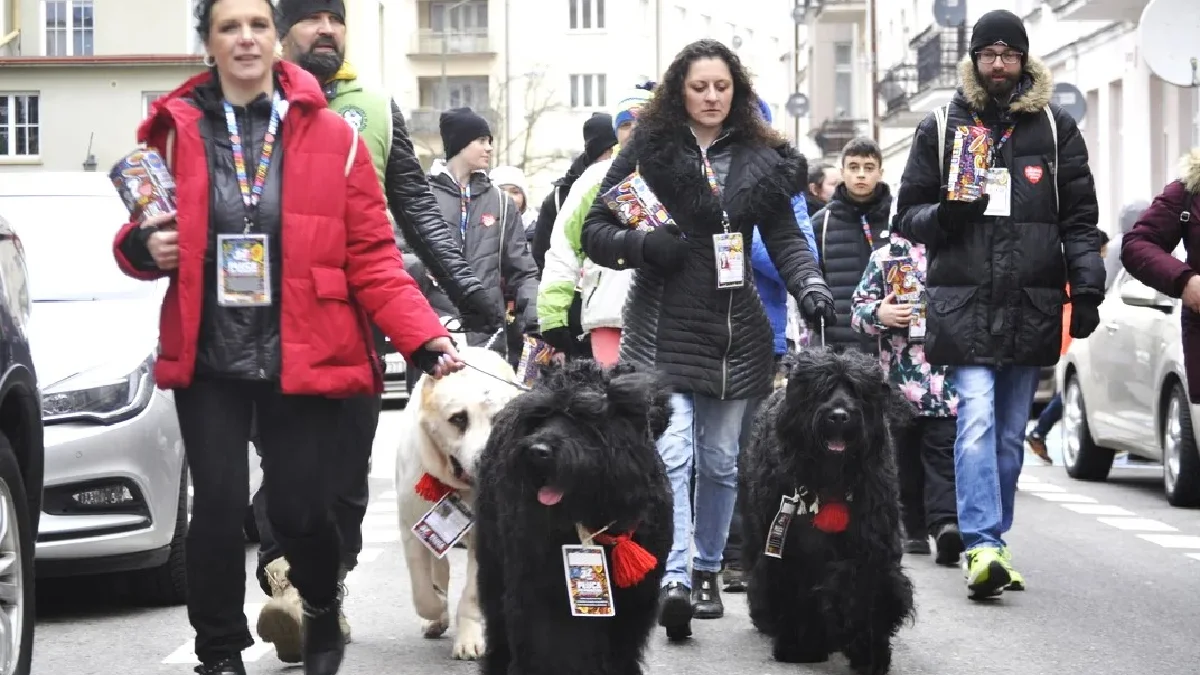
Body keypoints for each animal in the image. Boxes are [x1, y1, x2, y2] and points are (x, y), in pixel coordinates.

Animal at [470, 360, 676, 672]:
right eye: (539, 417)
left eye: (583, 416)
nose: (537, 451)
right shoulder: (541, 592)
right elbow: (551, 645)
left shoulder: (634, 600)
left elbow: (619, 646)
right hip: (494, 563)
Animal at [734, 345, 912, 672]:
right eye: (821, 388)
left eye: (856, 389)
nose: (839, 416)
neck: (832, 481)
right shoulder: (793, 551)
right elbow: (797, 593)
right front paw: (800, 646)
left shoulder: (870, 546)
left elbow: (864, 592)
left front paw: (870, 652)